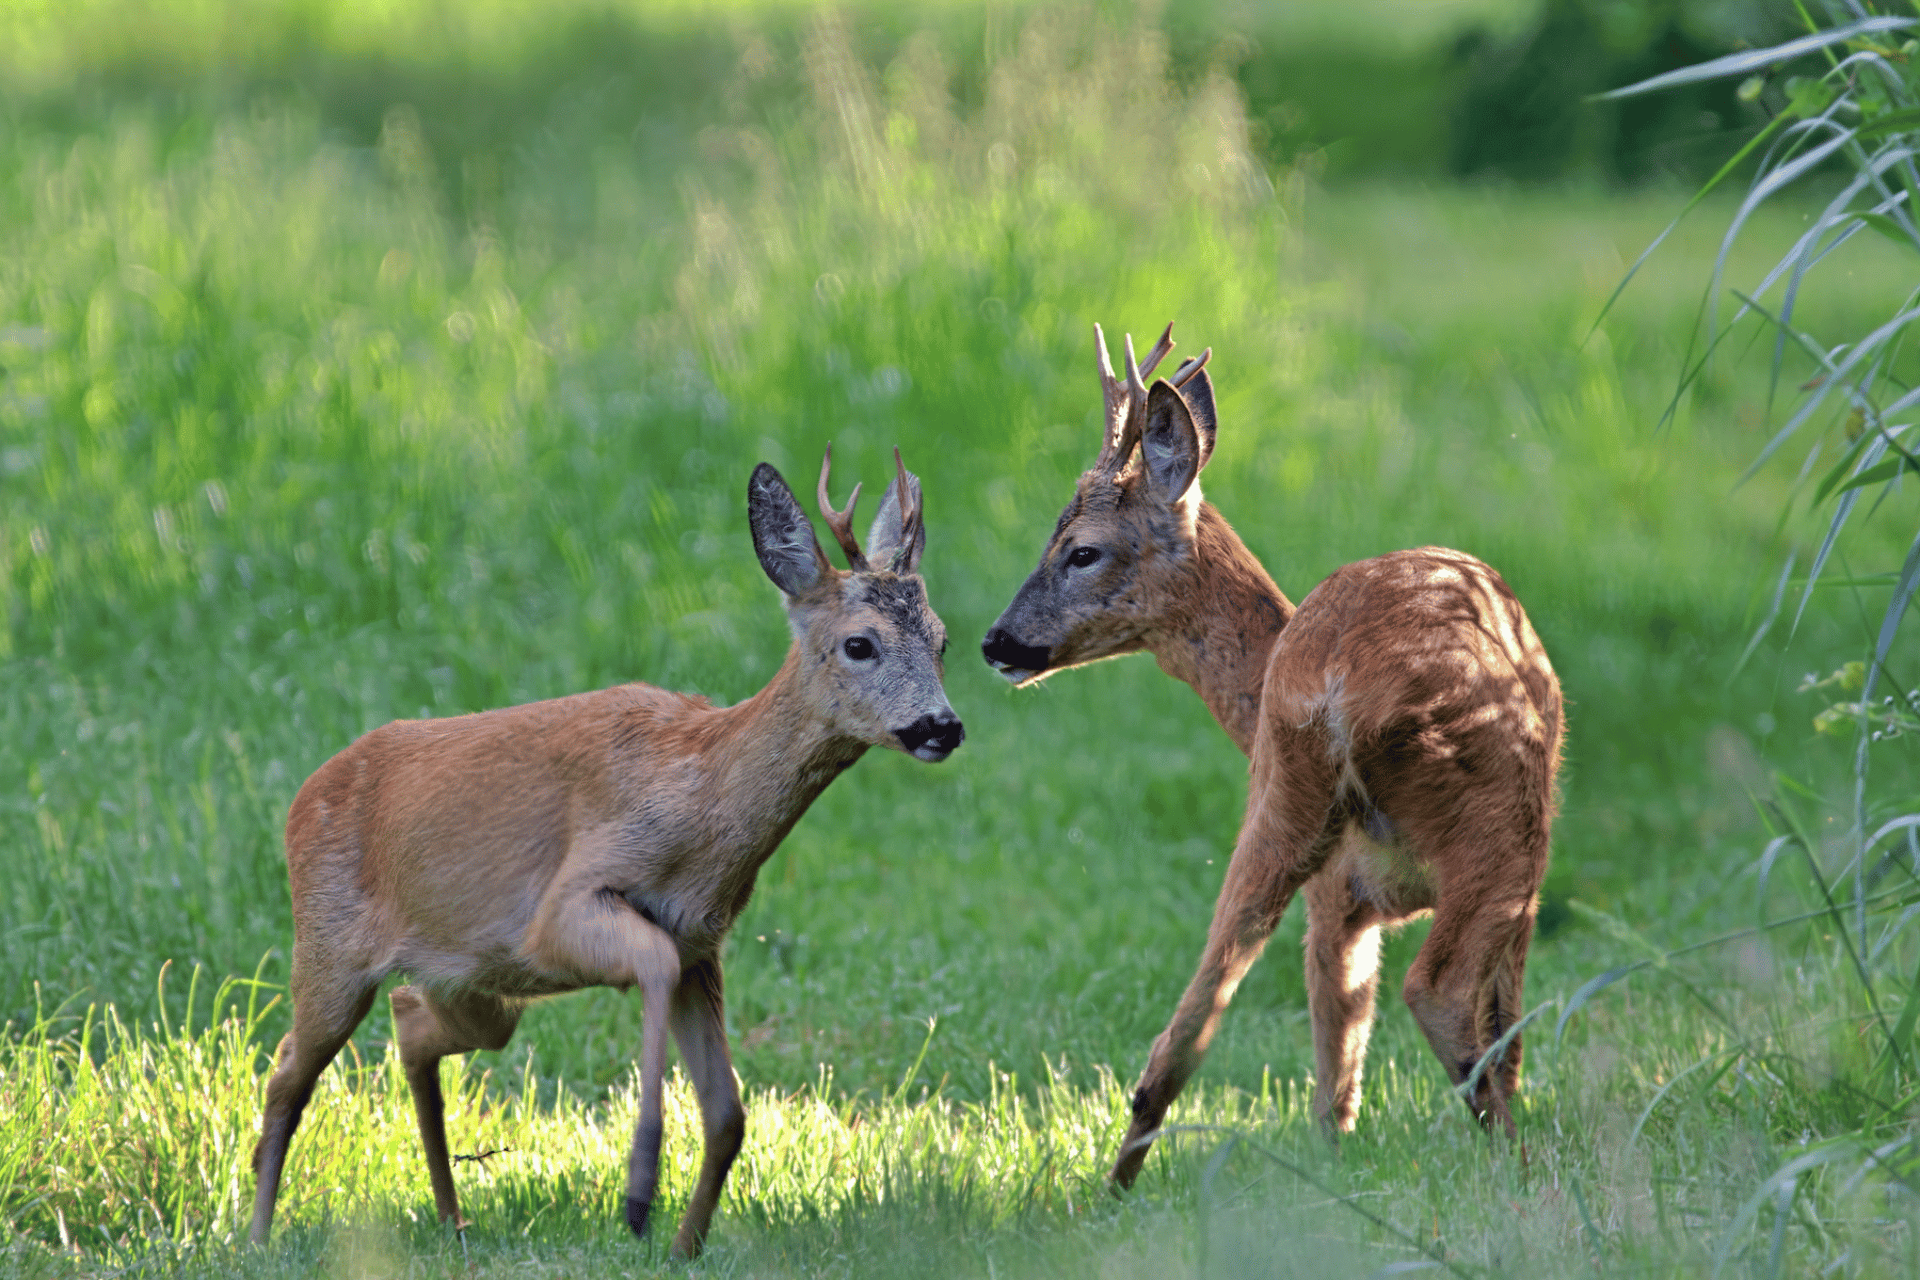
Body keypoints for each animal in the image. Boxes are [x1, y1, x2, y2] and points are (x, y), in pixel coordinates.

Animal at [248, 449, 963, 1257]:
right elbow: (650, 966)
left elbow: (728, 1113)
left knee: (412, 1023)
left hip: (474, 980)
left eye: (942, 640)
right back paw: (258, 1235)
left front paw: (684, 1247)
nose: (942, 725)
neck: (702, 802)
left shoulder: (701, 942)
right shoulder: (565, 906)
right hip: (331, 945)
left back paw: (452, 1218)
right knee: (287, 1072)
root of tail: (303, 798)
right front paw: (639, 1193)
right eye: (859, 643)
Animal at [981, 324, 1561, 1190]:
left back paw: (1118, 1188)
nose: (996, 642)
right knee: (1446, 991)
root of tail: (1336, 676)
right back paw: (1523, 1166)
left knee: (1187, 1031)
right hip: (1503, 820)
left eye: (1079, 551)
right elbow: (1506, 1020)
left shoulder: (1333, 895)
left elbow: (1334, 1063)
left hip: (1277, 807)